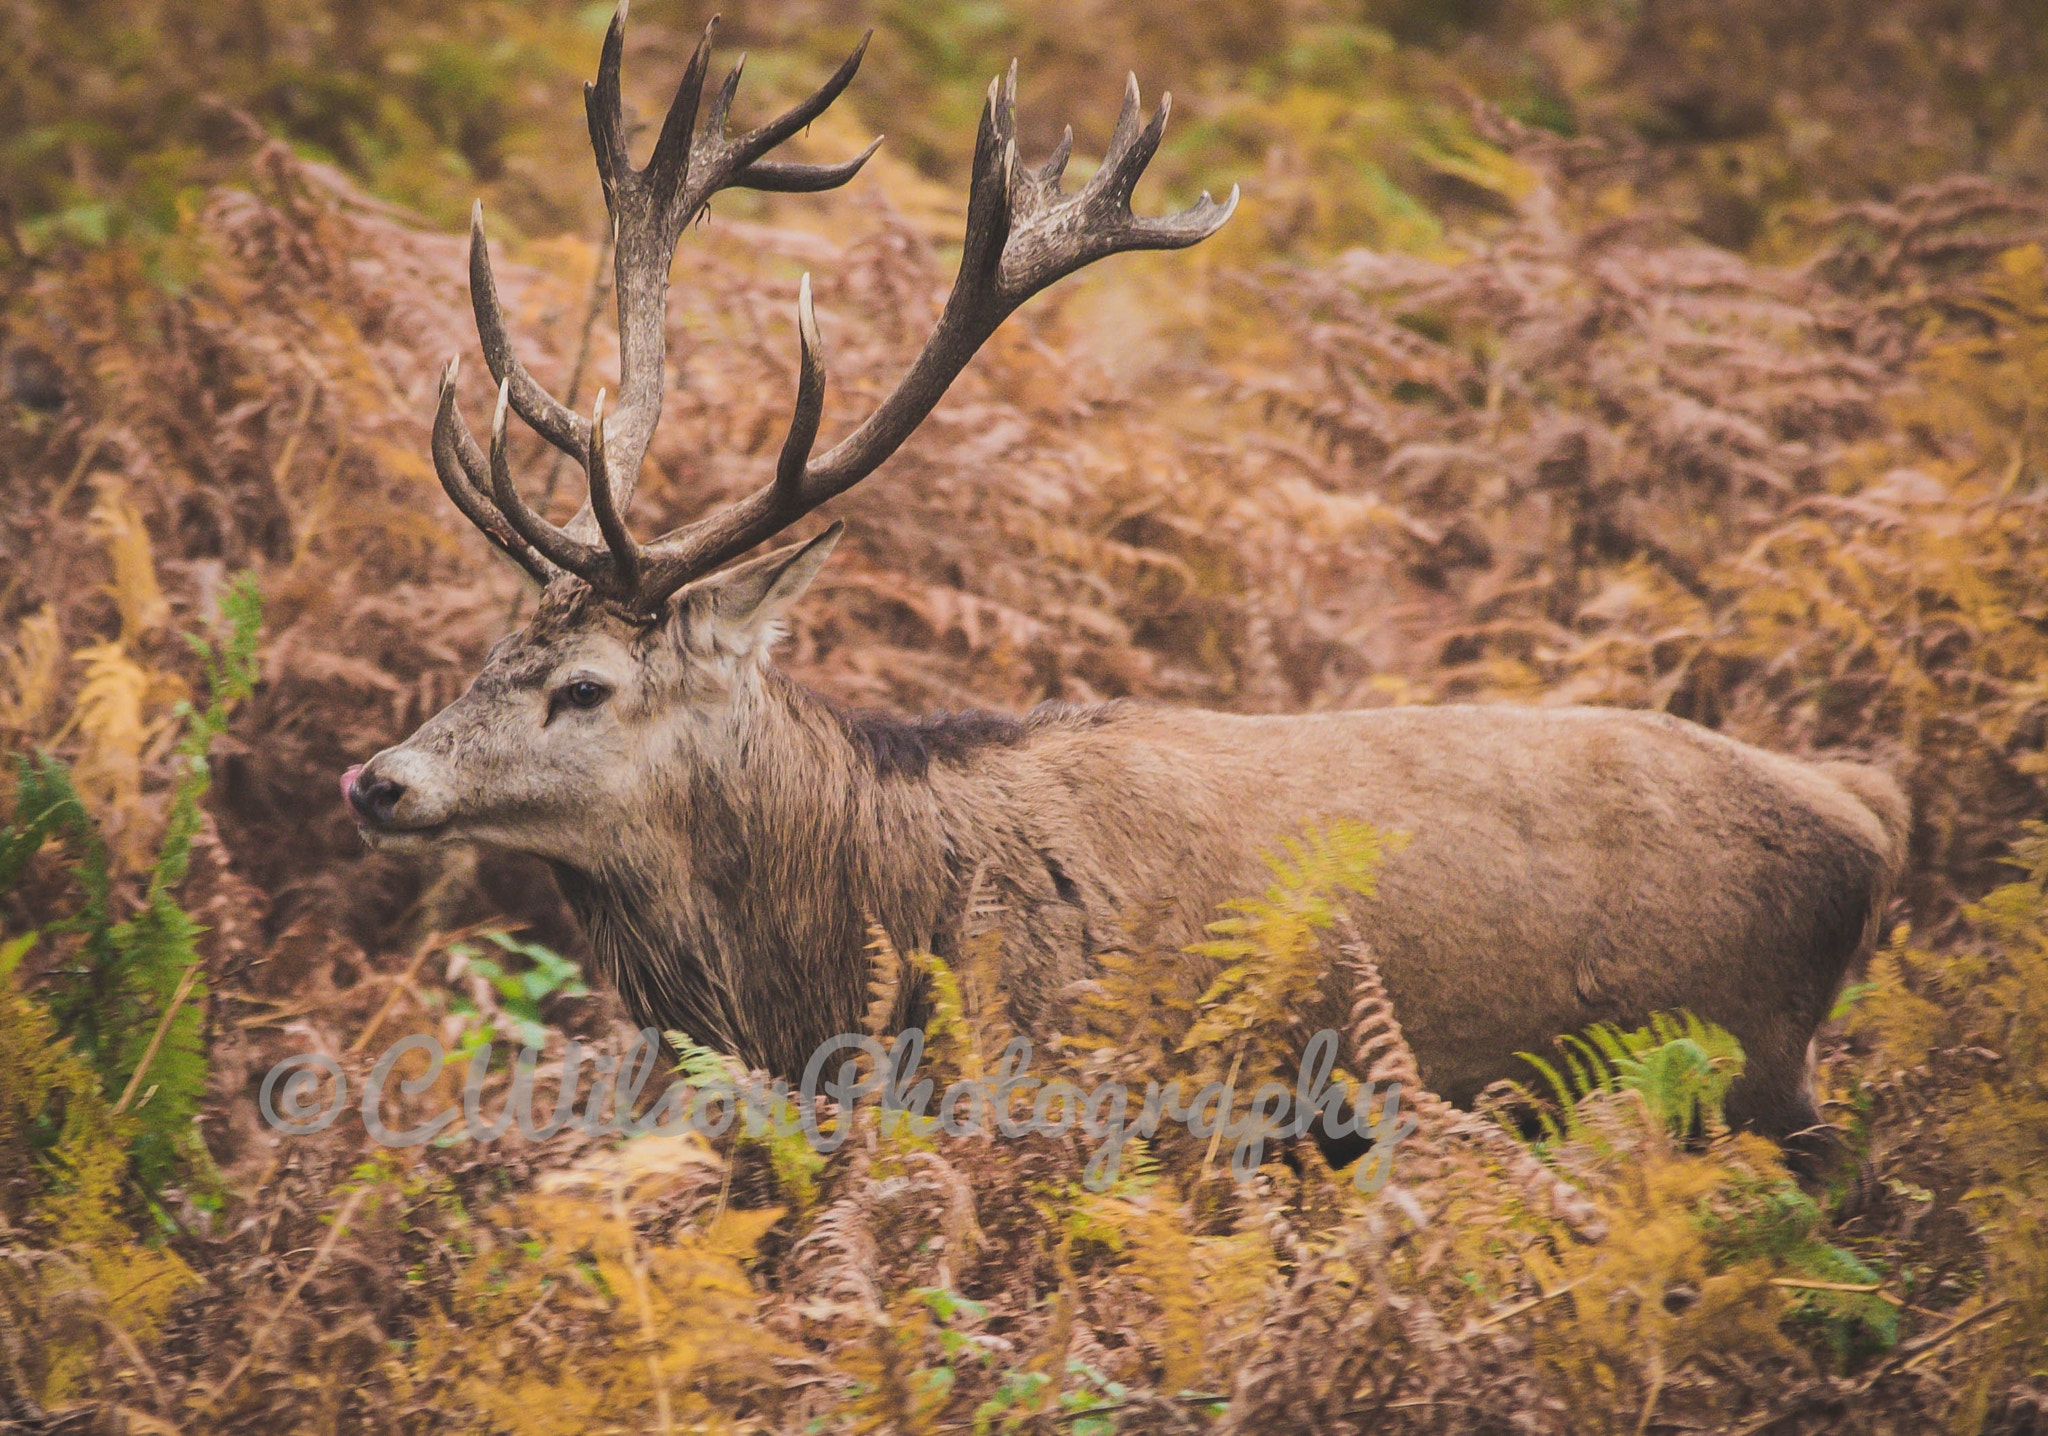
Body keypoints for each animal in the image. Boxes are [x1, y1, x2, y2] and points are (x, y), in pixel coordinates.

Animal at [342, 5, 1909, 1176]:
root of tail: (1868, 811)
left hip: (1750, 1072)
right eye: (487, 647)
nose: (376, 779)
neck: (870, 950)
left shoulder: (1111, 1107)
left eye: (586, 685)